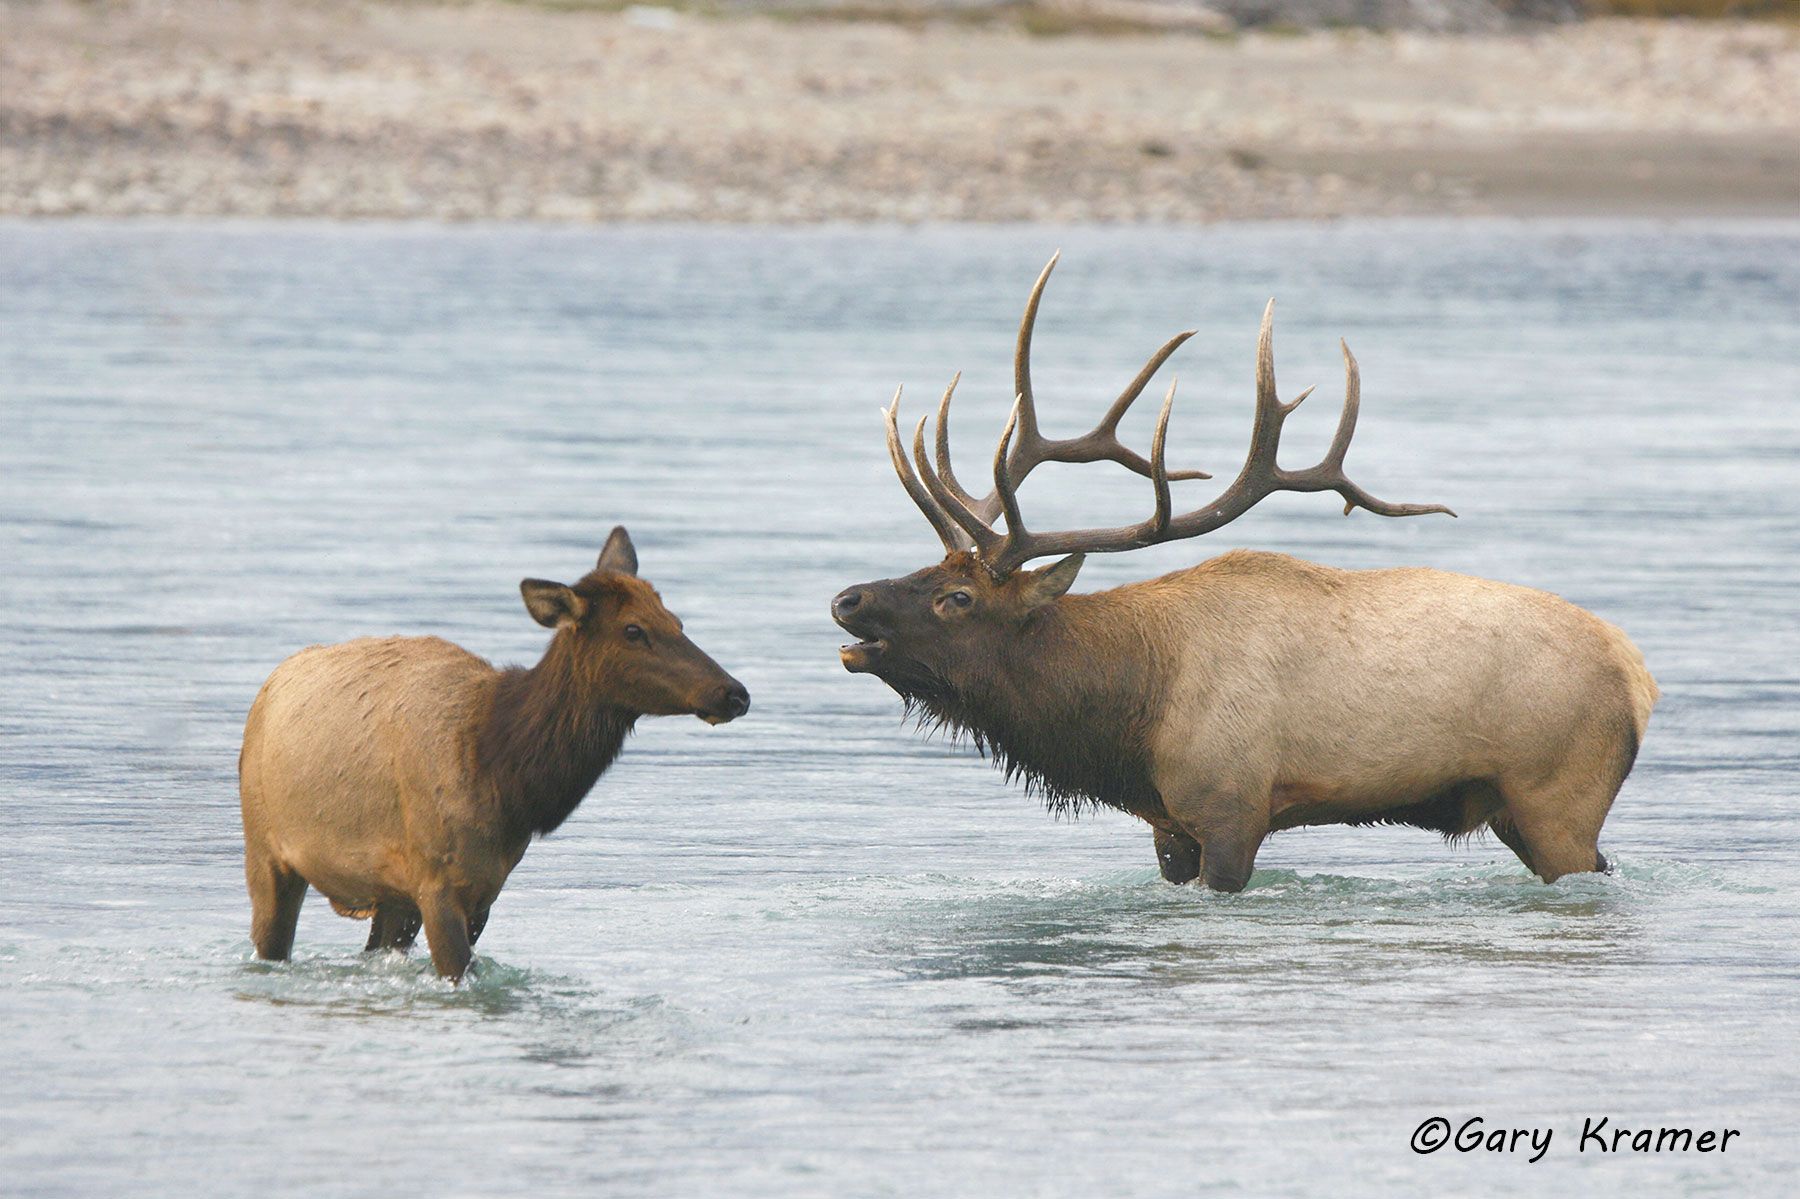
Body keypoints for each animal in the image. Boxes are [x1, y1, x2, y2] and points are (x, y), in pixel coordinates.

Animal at [239, 527, 749, 980]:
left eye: (677, 622)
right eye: (633, 630)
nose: (734, 693)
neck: (505, 781)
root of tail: (271, 683)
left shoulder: (484, 889)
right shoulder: (436, 884)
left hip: (389, 893)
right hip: (265, 851)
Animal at [831, 255, 1657, 892]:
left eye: (958, 596)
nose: (847, 599)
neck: (1130, 711)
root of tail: (1637, 673)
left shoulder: (1231, 803)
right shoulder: (1167, 824)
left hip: (1560, 795)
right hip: (1519, 809)